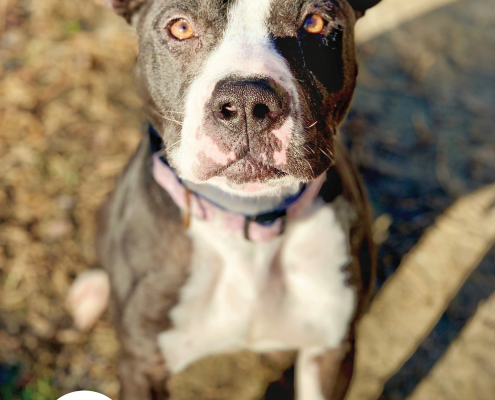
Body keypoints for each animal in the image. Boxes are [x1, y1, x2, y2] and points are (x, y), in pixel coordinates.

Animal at [67, 0, 380, 398]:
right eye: (180, 27)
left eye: (313, 22)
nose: (247, 102)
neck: (247, 223)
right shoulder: (143, 366)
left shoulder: (330, 350)